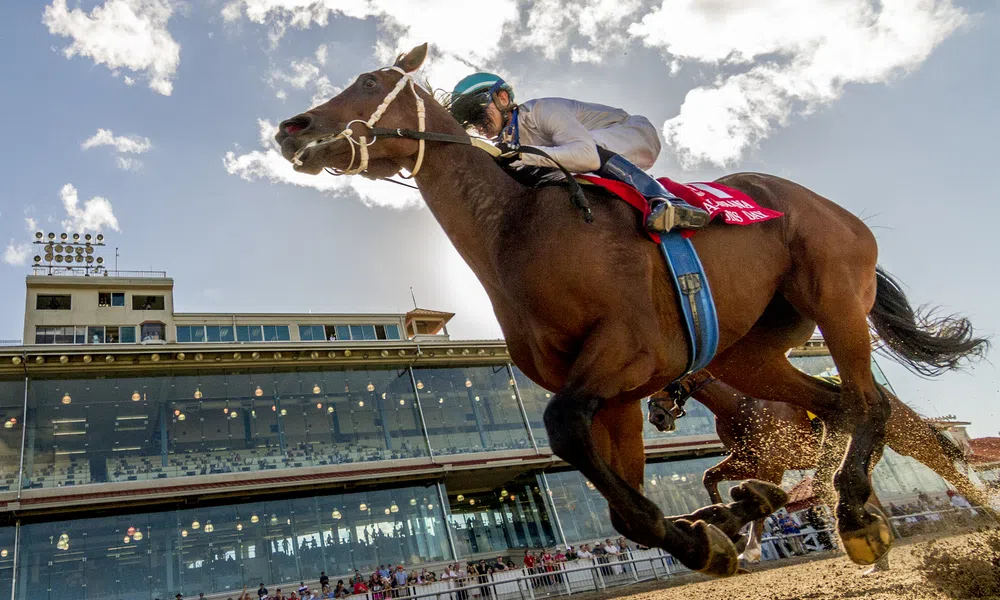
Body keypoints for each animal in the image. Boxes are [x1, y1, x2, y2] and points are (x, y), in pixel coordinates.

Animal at [648, 372, 988, 569]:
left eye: (666, 379)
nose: (656, 416)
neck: (740, 404)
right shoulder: (747, 459)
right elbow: (709, 477)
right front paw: (728, 532)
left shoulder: (771, 463)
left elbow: (760, 507)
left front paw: (751, 549)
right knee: (861, 493)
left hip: (909, 437)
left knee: (948, 468)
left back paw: (987, 509)